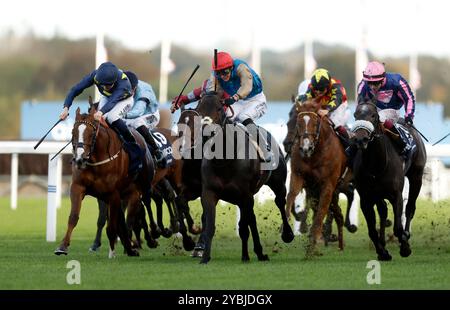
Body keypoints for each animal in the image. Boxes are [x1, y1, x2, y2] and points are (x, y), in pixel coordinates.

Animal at [54, 106, 155, 256]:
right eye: (73, 132)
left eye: (92, 133)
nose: (79, 159)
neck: (95, 160)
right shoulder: (78, 187)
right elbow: (73, 217)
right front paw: (62, 246)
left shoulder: (113, 194)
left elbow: (113, 225)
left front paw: (112, 252)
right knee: (124, 221)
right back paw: (129, 246)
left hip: (139, 190)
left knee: (134, 216)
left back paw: (139, 243)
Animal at [194, 92, 294, 264]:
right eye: (199, 109)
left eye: (219, 108)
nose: (206, 132)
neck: (224, 160)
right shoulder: (209, 193)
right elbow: (211, 225)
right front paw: (205, 257)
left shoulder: (245, 194)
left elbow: (244, 226)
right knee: (251, 219)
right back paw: (256, 253)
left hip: (277, 183)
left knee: (280, 203)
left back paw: (286, 235)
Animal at [284, 100, 348, 256]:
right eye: (298, 123)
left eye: (315, 123)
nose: (305, 147)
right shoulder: (299, 176)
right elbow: (291, 195)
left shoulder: (328, 186)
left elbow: (319, 217)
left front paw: (312, 247)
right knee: (337, 214)